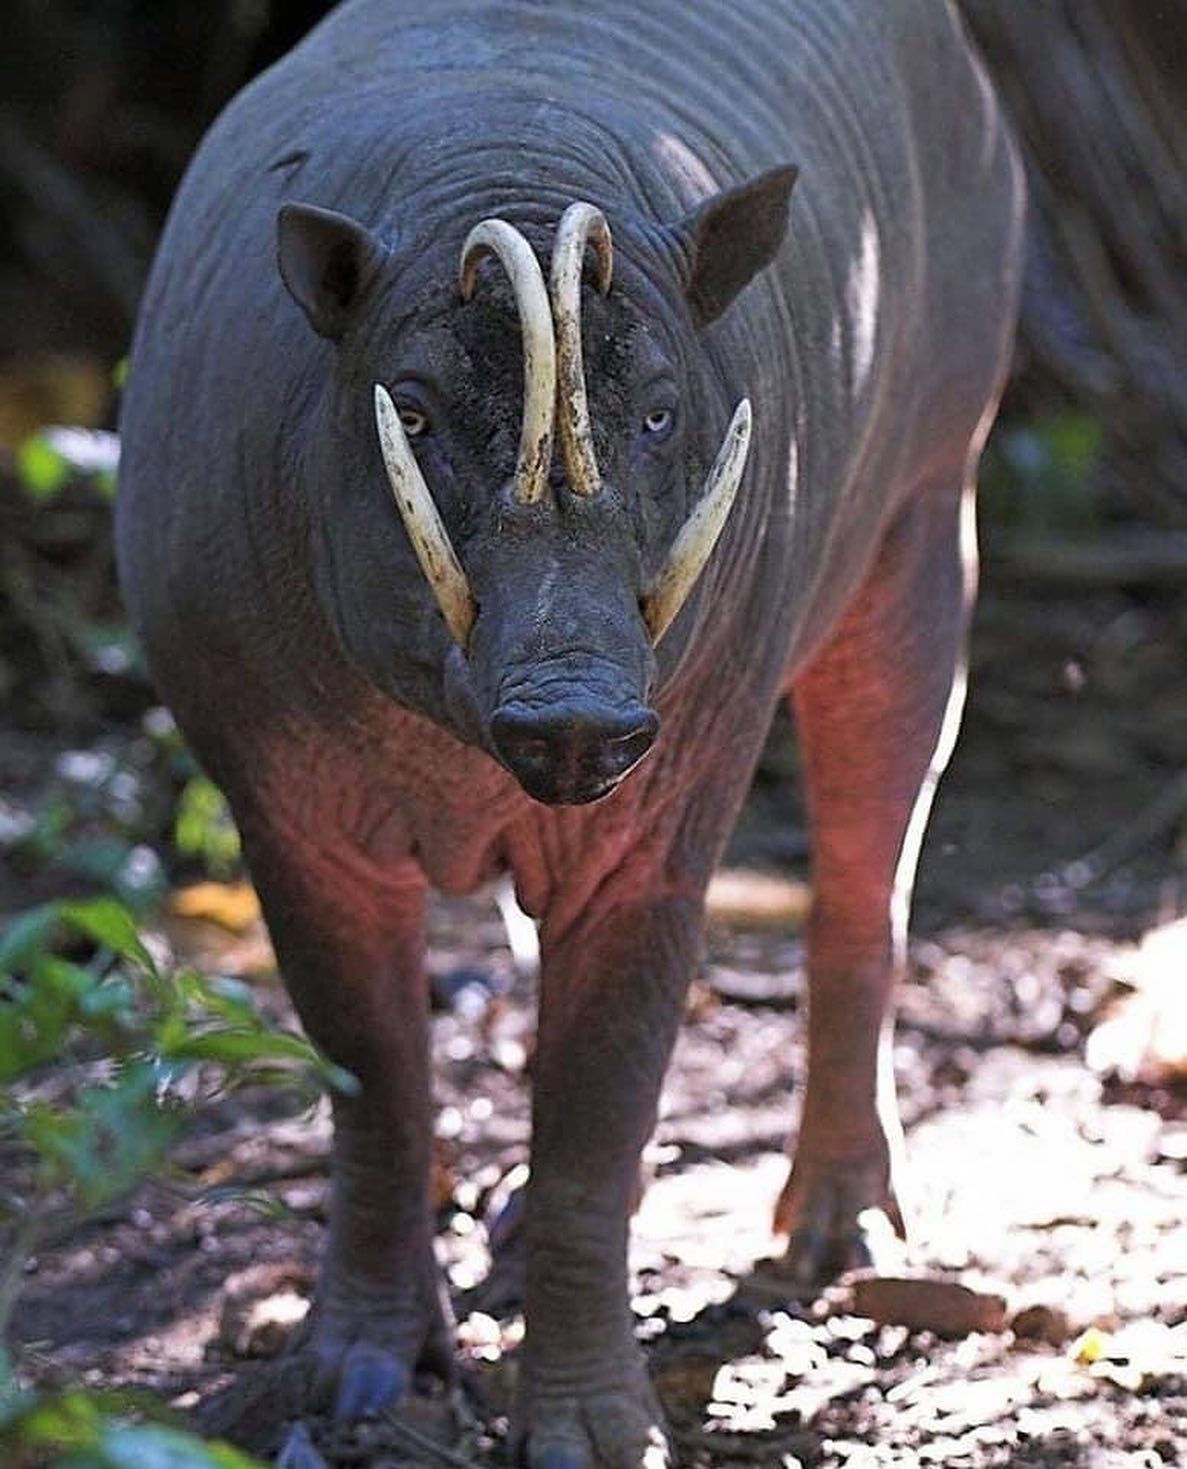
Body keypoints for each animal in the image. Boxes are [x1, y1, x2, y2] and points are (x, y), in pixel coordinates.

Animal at [116, 1, 1025, 1463]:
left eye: (658, 410)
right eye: (415, 414)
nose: (573, 712)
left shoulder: (664, 790)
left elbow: (600, 1099)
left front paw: (594, 1427)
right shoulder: (280, 803)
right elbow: (372, 1069)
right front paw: (357, 1371)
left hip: (930, 489)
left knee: (866, 859)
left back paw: (835, 1231)